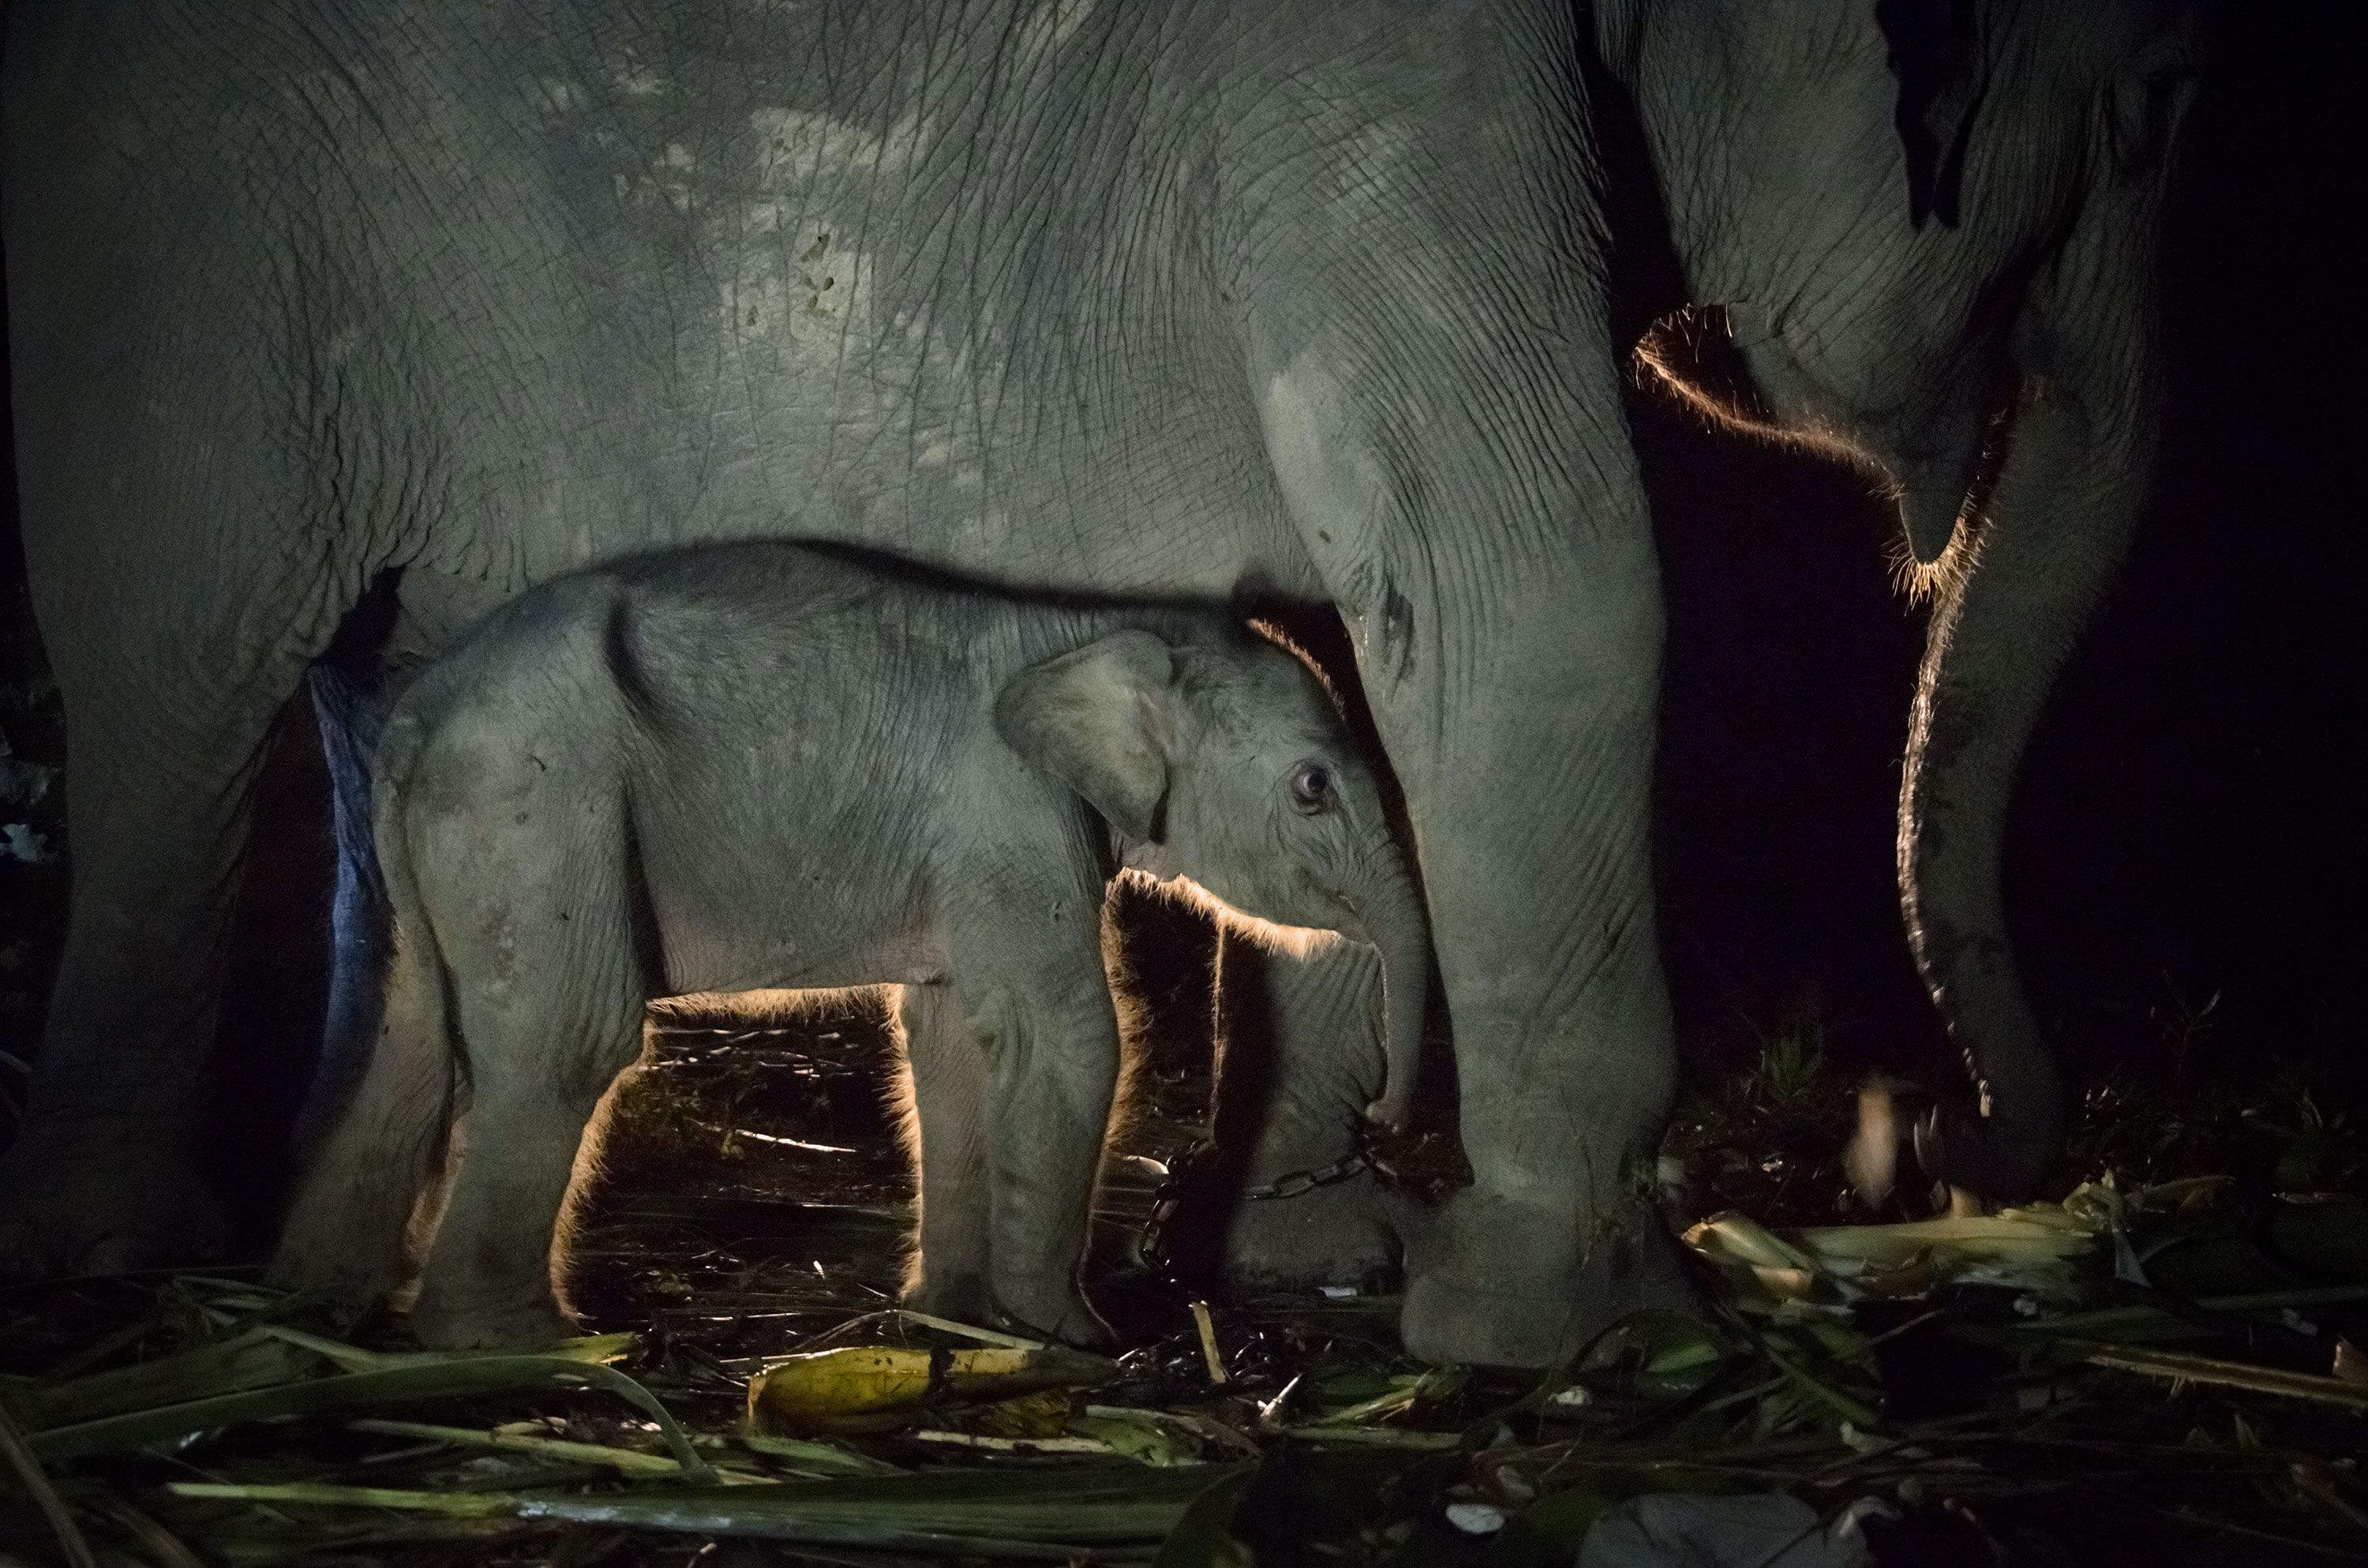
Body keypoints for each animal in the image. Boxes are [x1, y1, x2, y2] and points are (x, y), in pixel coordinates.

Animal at [275, 544, 1421, 1354]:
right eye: (1312, 786)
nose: (1380, 1118)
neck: (1092, 627)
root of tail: (419, 712)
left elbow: (955, 1034)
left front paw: (956, 1313)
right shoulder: (1004, 809)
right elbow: (1064, 1036)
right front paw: (1077, 1337)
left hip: (448, 844)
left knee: (410, 1041)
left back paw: (322, 1301)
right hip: (536, 813)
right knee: (566, 1039)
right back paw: (531, 1341)